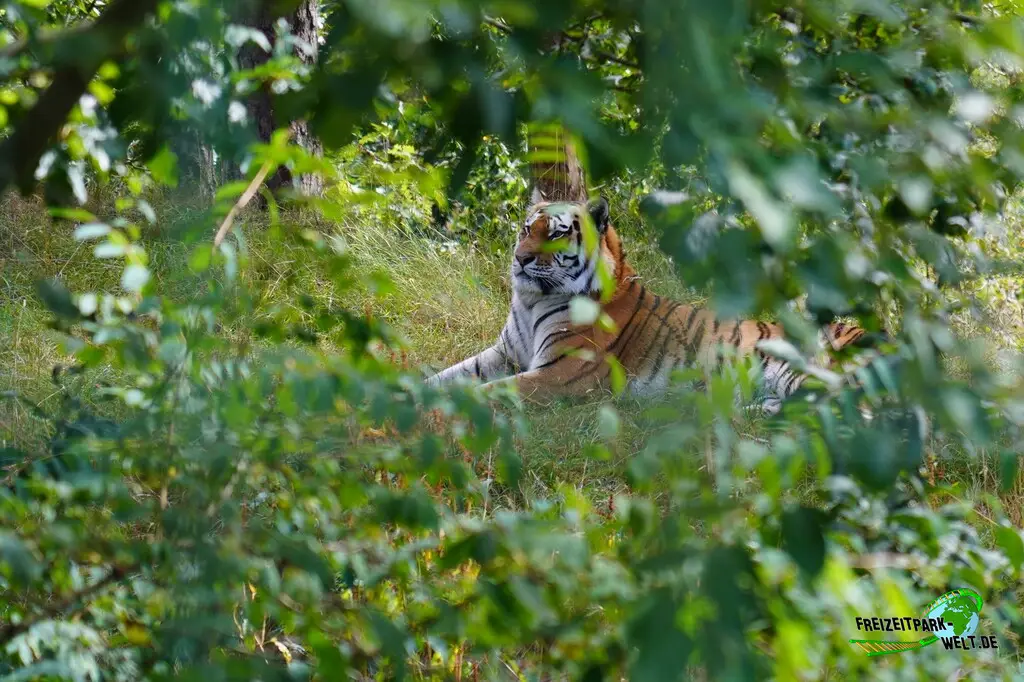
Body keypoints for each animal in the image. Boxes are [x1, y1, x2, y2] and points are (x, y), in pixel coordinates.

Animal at [427, 194, 875, 414]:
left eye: (554, 234)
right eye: (525, 229)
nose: (519, 259)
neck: (531, 301)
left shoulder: (560, 373)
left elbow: (489, 391)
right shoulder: (504, 353)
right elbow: (448, 375)